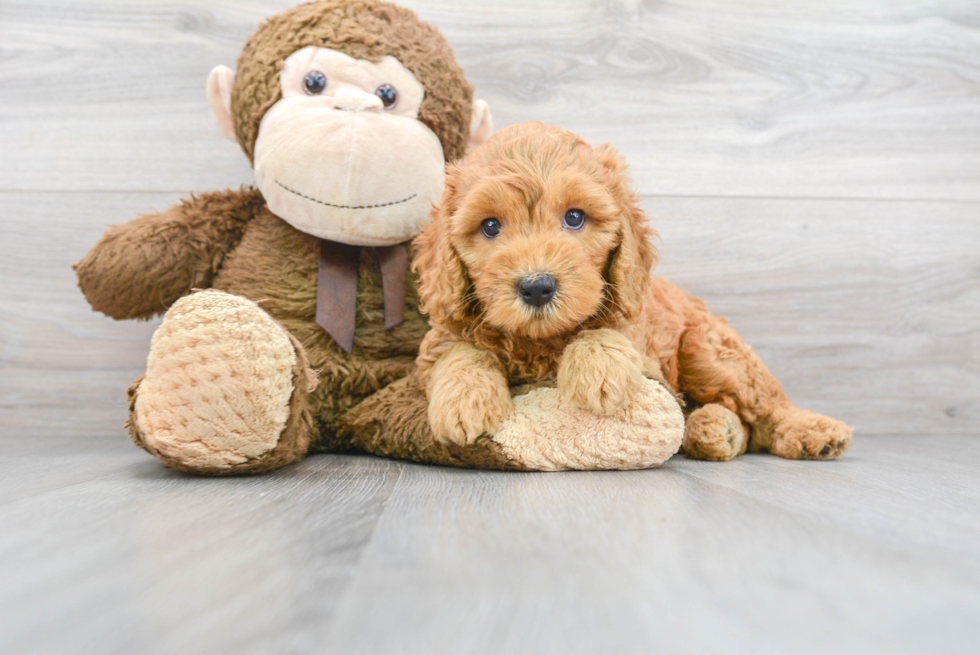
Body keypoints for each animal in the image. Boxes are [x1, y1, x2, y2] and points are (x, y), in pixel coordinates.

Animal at [414, 123, 848, 462]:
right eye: (490, 226)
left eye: (575, 217)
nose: (537, 287)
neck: (539, 342)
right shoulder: (441, 335)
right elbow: (459, 350)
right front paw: (465, 402)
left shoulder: (641, 337)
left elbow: (607, 330)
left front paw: (598, 370)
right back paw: (715, 430)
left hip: (707, 350)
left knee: (764, 405)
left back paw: (813, 431)